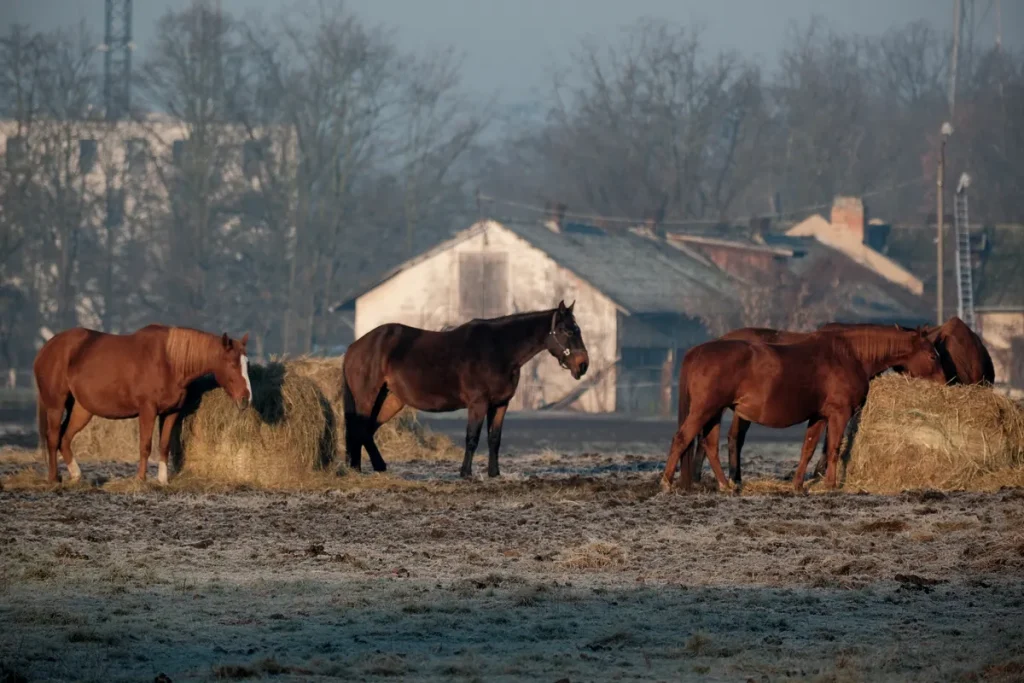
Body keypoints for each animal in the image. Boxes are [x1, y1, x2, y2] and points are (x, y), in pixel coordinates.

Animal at [33, 325, 252, 484]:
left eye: (246, 363)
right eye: (232, 364)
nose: (246, 398)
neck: (169, 362)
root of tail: (47, 348)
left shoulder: (171, 412)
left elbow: (163, 445)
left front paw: (163, 480)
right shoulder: (147, 410)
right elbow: (145, 445)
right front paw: (141, 479)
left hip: (82, 409)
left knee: (65, 439)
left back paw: (76, 475)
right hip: (56, 405)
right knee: (53, 437)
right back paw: (53, 479)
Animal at [341, 300, 589, 478]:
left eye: (578, 329)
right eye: (567, 331)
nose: (583, 365)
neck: (500, 349)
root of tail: (355, 347)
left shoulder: (500, 404)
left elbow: (494, 439)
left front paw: (494, 473)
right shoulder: (478, 404)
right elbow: (472, 437)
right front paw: (465, 473)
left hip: (390, 400)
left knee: (367, 430)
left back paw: (368, 467)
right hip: (367, 398)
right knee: (360, 428)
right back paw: (363, 468)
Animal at [662, 328, 943, 493]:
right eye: (932, 356)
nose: (945, 384)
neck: (848, 355)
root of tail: (697, 352)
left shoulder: (818, 416)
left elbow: (808, 448)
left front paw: (798, 485)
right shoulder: (838, 414)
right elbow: (833, 448)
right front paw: (830, 485)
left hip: (713, 412)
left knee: (709, 445)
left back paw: (725, 485)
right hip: (705, 410)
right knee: (681, 439)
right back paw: (666, 482)